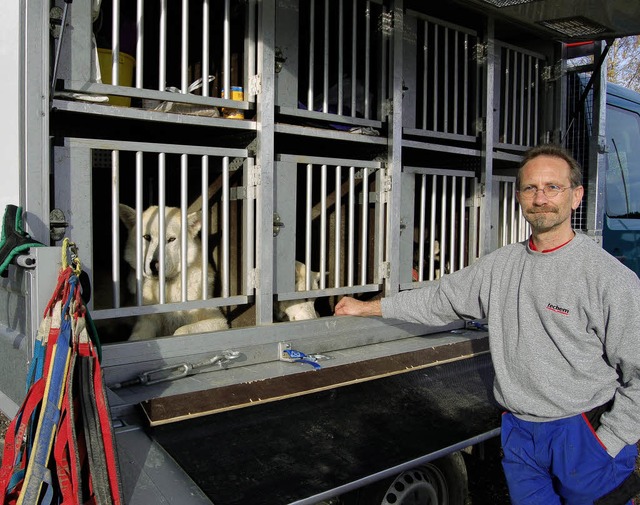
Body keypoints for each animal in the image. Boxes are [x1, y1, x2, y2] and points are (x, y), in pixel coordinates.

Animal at [119, 204, 228, 338]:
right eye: (147, 237)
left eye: (171, 239)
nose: (155, 265)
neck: (167, 286)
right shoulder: (146, 322)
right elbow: (137, 337)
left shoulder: (219, 321)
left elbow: (180, 330)